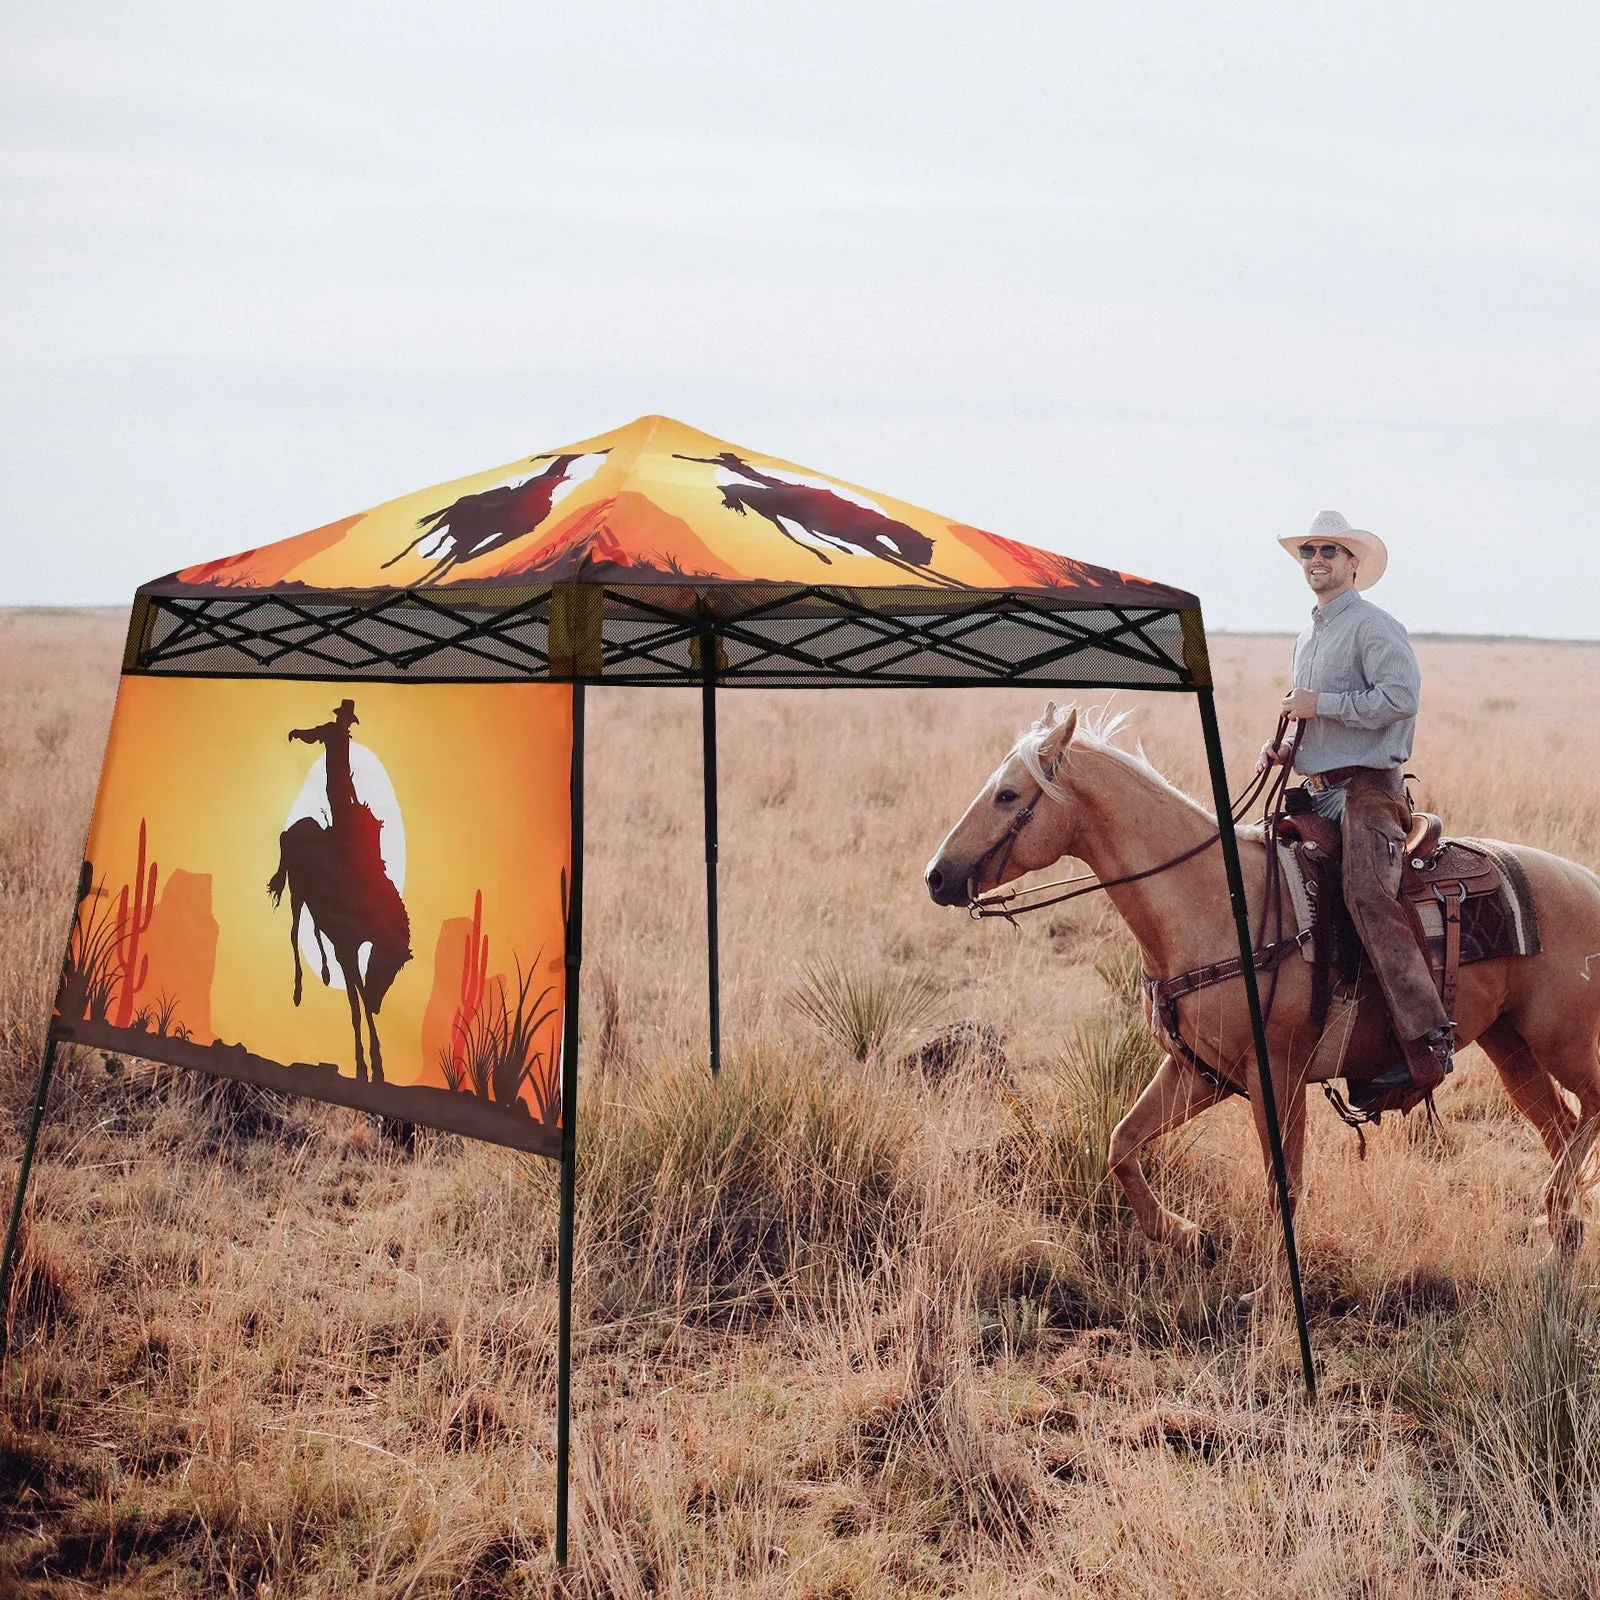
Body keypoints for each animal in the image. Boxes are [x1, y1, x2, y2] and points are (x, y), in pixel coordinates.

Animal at [928, 707, 1600, 1254]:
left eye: (1008, 795)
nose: (937, 876)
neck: (1214, 905)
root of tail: (1589, 883)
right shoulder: (1200, 1071)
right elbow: (1121, 1143)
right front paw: (1183, 1234)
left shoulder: (1278, 1073)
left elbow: (1286, 1187)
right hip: (1509, 1044)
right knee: (1563, 1127)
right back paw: (1559, 1227)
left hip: (1560, 1040)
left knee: (1590, 1108)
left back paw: (1553, 1209)